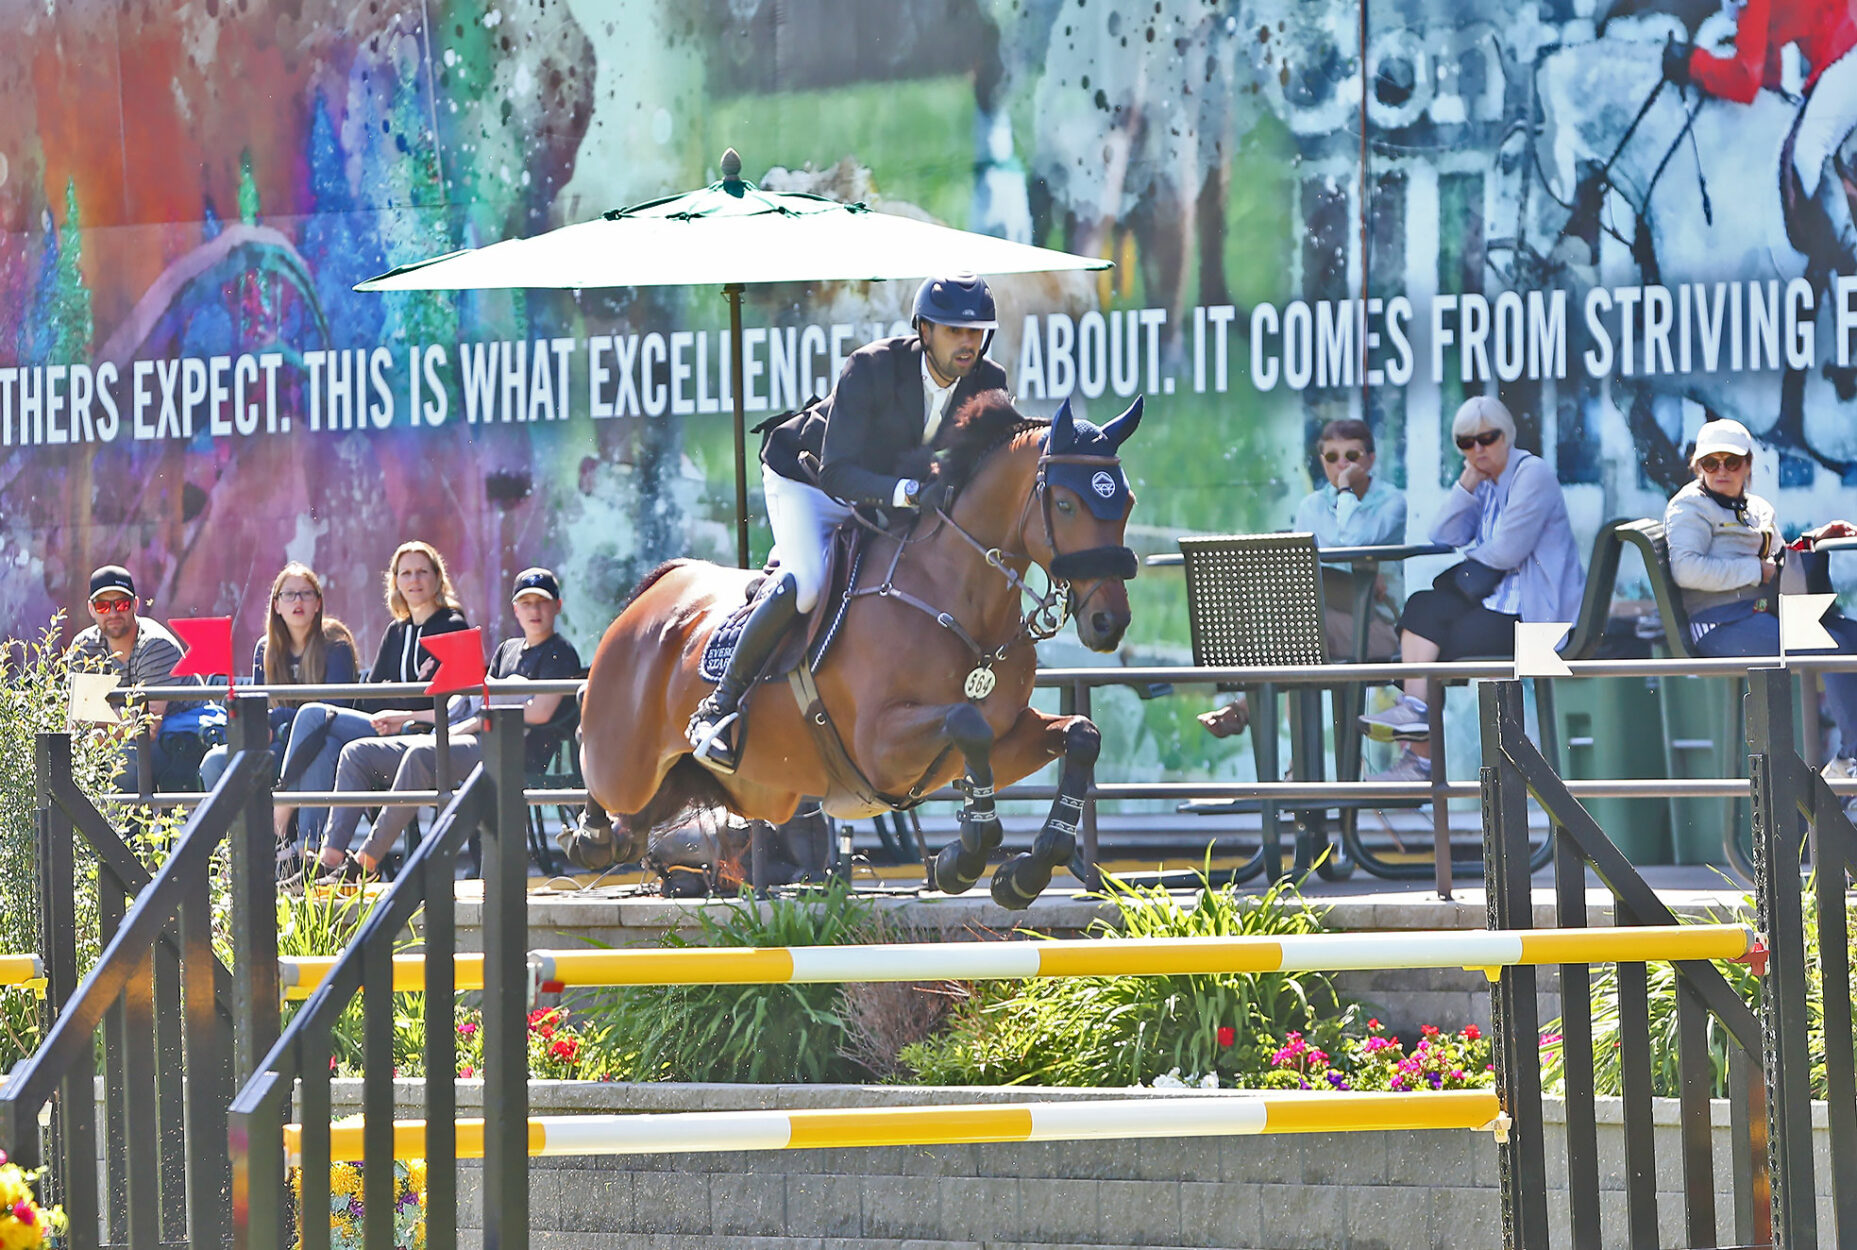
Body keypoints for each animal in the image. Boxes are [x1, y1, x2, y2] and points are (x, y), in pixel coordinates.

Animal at [564, 390, 1143, 906]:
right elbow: (965, 721)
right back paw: (592, 829)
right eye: (1065, 504)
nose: (1108, 622)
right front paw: (965, 857)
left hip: (731, 786)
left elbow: (1080, 735)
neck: (955, 595)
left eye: (1126, 503)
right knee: (593, 745)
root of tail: (658, 588)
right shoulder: (881, 745)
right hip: (625, 762)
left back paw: (607, 841)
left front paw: (1026, 870)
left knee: (638, 827)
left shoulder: (1000, 737)